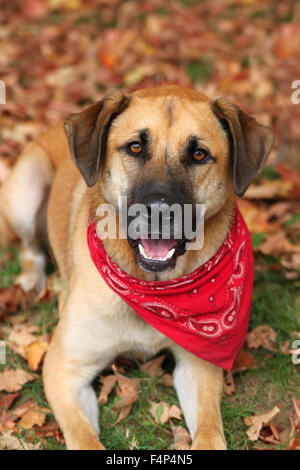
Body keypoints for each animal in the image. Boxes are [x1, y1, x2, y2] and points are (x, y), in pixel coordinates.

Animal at [0, 86, 274, 450]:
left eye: (199, 154)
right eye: (135, 147)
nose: (159, 211)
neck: (153, 288)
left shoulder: (198, 366)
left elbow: (209, 431)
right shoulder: (64, 369)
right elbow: (85, 438)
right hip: (25, 191)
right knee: (29, 248)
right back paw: (32, 280)